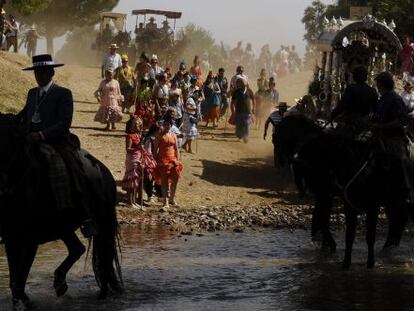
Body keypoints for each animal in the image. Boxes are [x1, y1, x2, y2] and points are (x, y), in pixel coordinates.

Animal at [0, 114, 123, 310]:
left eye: (13, 137)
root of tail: (105, 172)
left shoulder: (30, 239)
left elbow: (21, 274)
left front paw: (23, 301)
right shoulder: (11, 235)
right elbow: (15, 276)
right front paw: (20, 301)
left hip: (102, 224)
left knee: (102, 257)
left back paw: (102, 293)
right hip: (63, 227)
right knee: (77, 248)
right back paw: (60, 283)